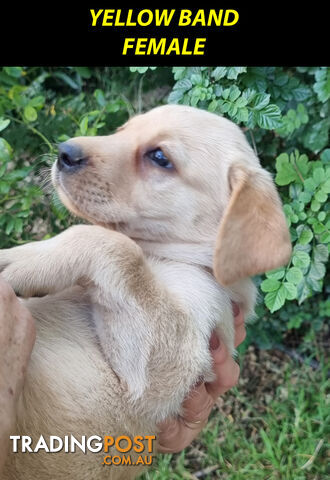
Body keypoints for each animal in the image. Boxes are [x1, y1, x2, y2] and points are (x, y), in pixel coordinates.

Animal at [0, 106, 290, 480]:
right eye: (123, 130)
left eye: (159, 158)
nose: (64, 152)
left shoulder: (160, 369)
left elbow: (116, 246)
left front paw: (24, 259)